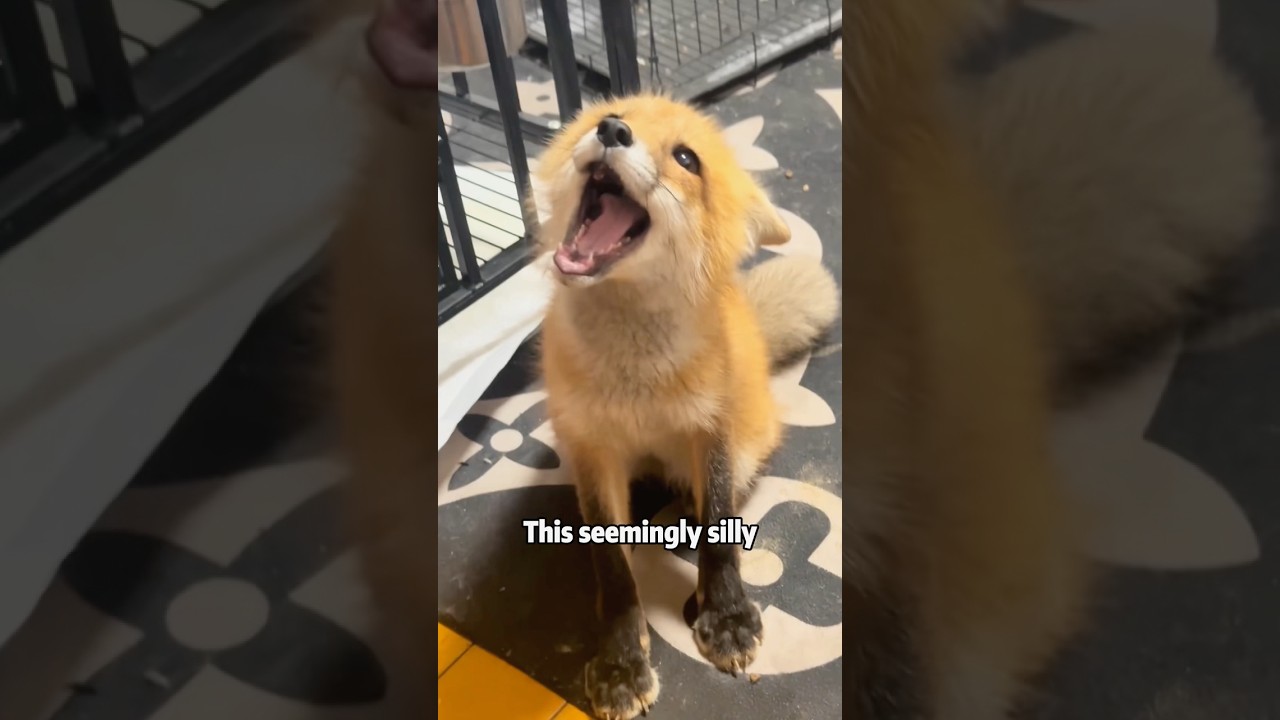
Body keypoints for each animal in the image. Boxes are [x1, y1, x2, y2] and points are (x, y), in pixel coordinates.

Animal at [530, 95, 839, 719]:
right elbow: (614, 570)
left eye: (687, 159)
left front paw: (725, 616)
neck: (636, 385)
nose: (611, 130)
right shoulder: (592, 450)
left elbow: (719, 532)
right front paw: (622, 663)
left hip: (741, 451)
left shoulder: (711, 429)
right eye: (614, 116)